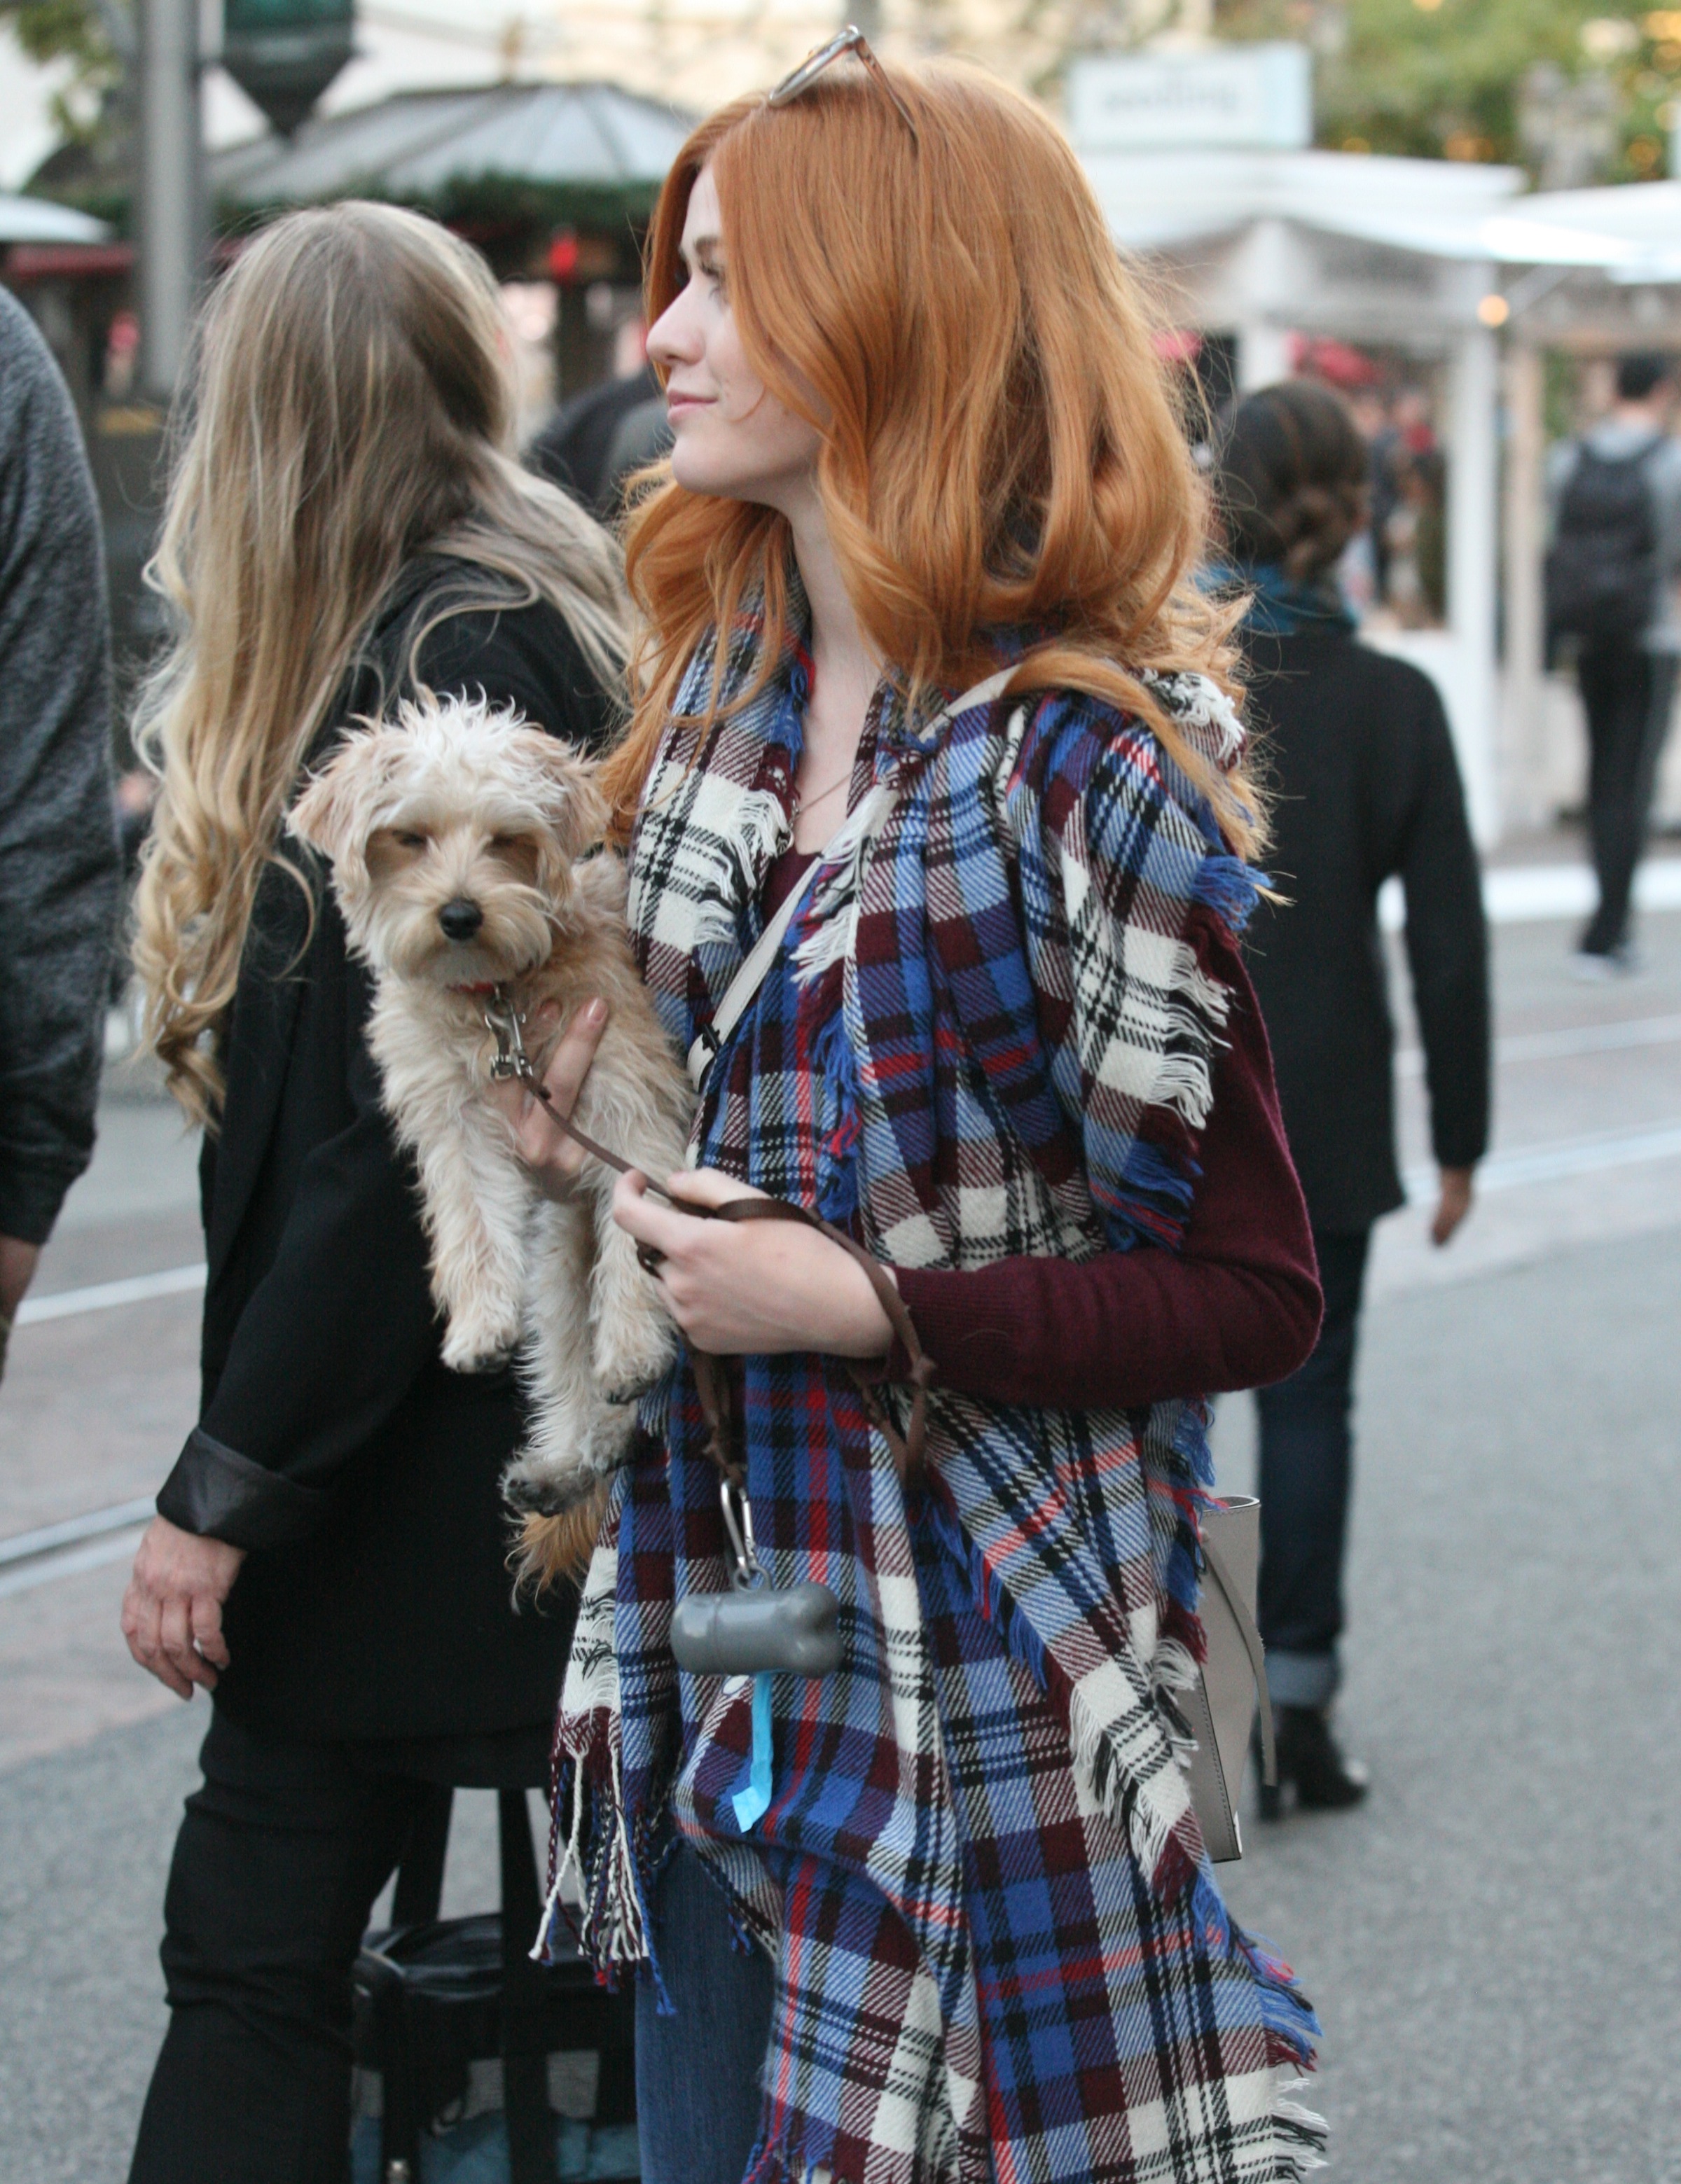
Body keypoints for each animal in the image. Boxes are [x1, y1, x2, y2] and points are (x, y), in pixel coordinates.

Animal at [289, 695, 694, 1587]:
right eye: (409, 837)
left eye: (508, 839)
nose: (460, 913)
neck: (496, 998)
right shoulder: (455, 1124)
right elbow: (471, 1224)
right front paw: (478, 1321)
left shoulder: (630, 1112)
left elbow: (635, 1244)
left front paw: (633, 1345)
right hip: (557, 1257)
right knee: (569, 1358)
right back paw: (569, 1457)